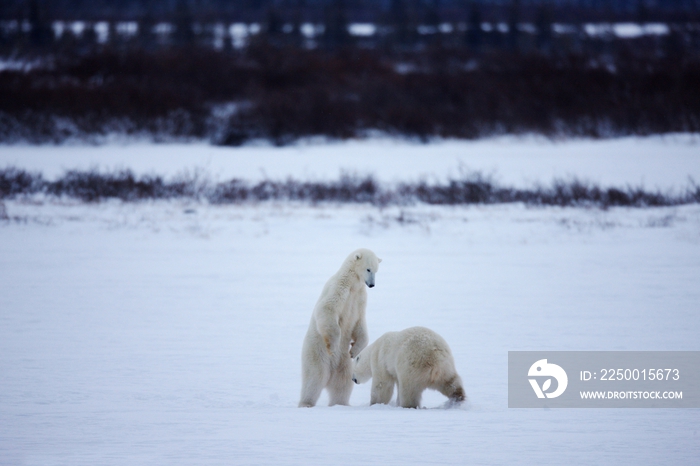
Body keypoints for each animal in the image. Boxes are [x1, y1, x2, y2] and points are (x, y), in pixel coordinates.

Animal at [296, 248, 380, 408]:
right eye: (368, 269)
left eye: (376, 270)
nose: (372, 284)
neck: (353, 284)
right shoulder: (338, 288)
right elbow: (327, 309)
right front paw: (334, 346)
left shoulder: (360, 299)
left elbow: (359, 324)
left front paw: (355, 350)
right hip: (316, 353)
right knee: (314, 379)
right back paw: (306, 403)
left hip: (344, 363)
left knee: (343, 383)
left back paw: (341, 403)